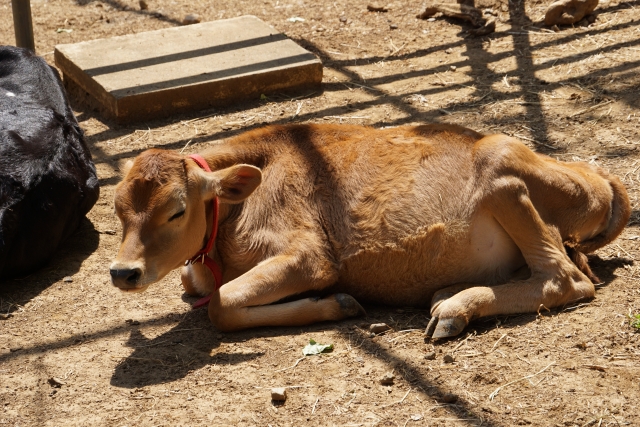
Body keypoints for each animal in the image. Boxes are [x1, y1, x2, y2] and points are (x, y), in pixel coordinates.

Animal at [110, 124, 632, 342]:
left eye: (177, 211)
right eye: (117, 209)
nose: (122, 272)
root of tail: (601, 180)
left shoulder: (310, 256)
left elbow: (220, 305)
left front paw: (339, 303)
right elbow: (197, 286)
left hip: (500, 166)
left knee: (565, 279)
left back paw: (453, 311)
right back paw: (447, 295)